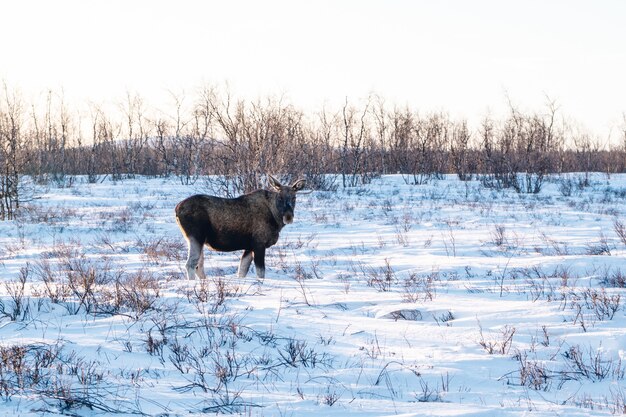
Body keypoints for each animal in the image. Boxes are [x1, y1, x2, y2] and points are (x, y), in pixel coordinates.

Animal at [174, 174, 306, 278]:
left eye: (294, 197)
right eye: (280, 197)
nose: (288, 216)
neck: (276, 219)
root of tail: (176, 209)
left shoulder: (249, 247)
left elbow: (242, 271)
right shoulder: (259, 244)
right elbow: (260, 273)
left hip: (199, 241)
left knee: (199, 266)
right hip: (196, 237)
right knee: (190, 264)